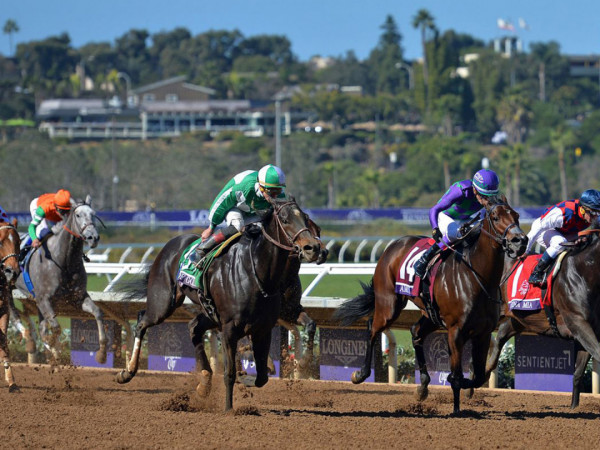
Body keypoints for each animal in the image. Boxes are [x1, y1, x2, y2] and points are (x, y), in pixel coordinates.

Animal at [11, 195, 105, 364]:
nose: (93, 237)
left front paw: (102, 353)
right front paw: (57, 354)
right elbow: (55, 328)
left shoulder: (78, 297)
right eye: (78, 215)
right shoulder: (44, 299)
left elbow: (98, 312)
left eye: (93, 214)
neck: (63, 260)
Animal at [116, 198, 324, 412]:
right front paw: (229, 408)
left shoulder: (265, 326)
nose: (314, 249)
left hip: (209, 313)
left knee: (193, 328)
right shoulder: (230, 328)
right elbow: (229, 372)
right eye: (284, 219)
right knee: (142, 321)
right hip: (164, 303)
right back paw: (127, 372)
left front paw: (251, 376)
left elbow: (262, 377)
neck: (259, 273)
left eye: (307, 219)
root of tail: (170, 244)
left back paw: (204, 383)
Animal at [336, 199, 528, 414]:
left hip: (431, 315)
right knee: (373, 327)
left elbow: (477, 377)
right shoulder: (455, 331)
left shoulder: (483, 333)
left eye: (516, 216)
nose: (520, 241)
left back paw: (422, 386)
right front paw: (456, 410)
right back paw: (360, 374)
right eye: (495, 217)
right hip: (389, 304)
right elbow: (457, 376)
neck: (478, 277)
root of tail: (393, 244)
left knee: (416, 332)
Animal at [482, 230, 600, 410]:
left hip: (516, 319)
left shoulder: (587, 330)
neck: (583, 273)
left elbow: (578, 373)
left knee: (498, 341)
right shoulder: (578, 322)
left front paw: (574, 408)